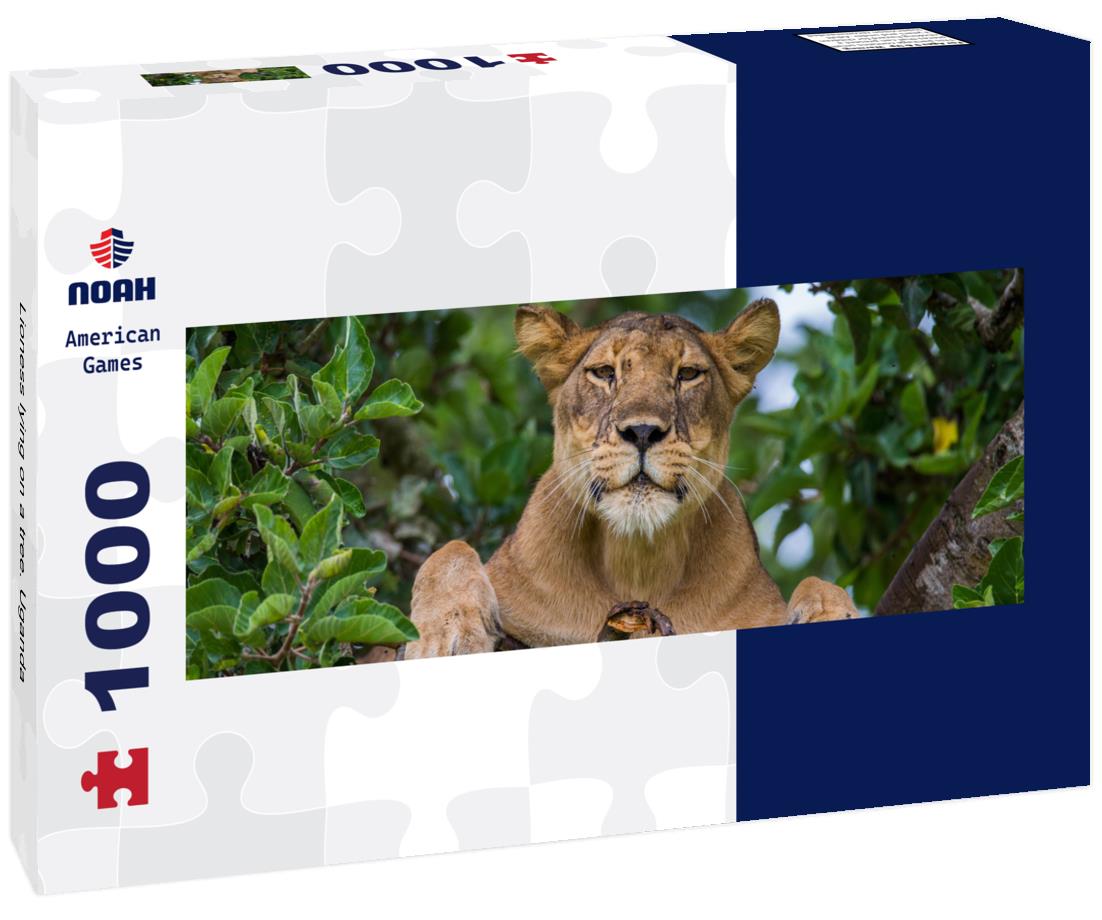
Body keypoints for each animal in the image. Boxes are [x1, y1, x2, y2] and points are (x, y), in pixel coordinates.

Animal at [402, 299, 857, 659]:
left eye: (688, 374)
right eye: (604, 372)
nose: (641, 431)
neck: (637, 557)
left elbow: (821, 583)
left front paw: (830, 614)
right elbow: (451, 551)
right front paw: (444, 634)